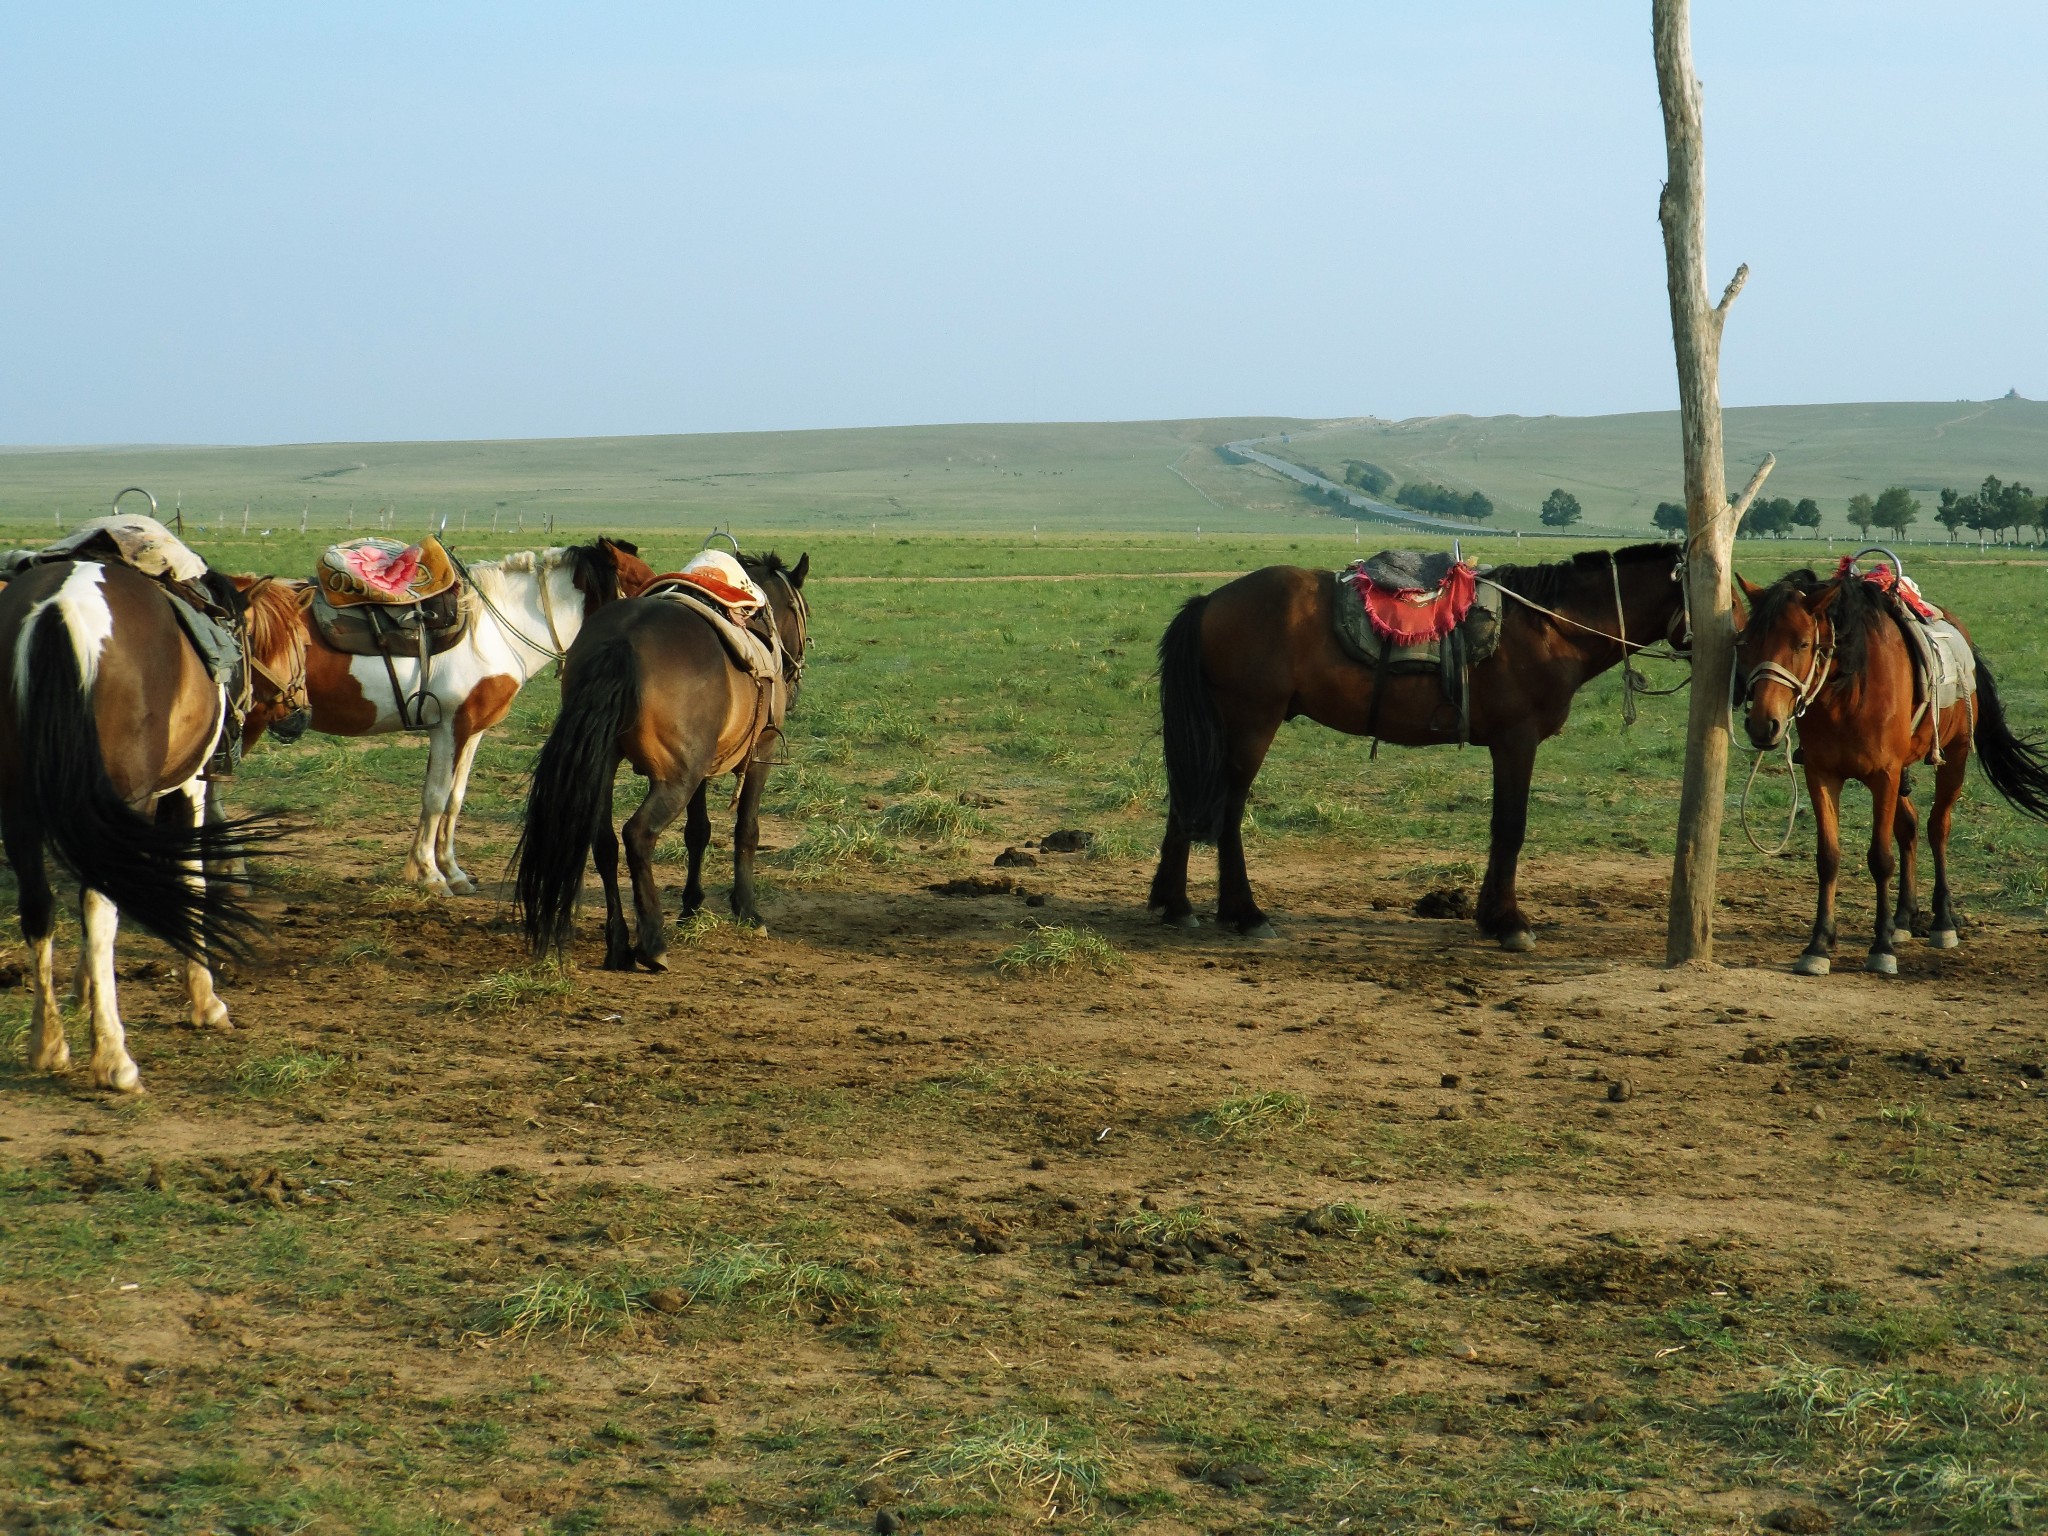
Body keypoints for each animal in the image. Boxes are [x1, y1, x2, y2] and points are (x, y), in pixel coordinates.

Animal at [0, 528, 307, 1097]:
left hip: (20, 807)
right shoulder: (188, 787)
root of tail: (58, 609)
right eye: (300, 644)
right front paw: (205, 1001)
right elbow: (189, 882)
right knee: (101, 904)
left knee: (39, 907)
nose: (302, 714)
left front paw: (82, 991)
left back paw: (48, 1044)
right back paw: (113, 1058)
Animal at [290, 540, 647, 901]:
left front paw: (453, 872)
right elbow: (435, 798)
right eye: (639, 579)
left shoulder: (472, 731)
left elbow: (455, 798)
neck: (495, 630)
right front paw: (430, 874)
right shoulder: (449, 728)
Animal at [516, 548, 811, 966]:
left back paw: (619, 942)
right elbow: (746, 830)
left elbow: (698, 832)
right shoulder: (759, 755)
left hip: (607, 765)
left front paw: (691, 907)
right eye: (800, 608)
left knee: (604, 842)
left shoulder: (703, 767)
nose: (795, 668)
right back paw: (653, 942)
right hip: (676, 779)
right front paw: (747, 910)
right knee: (637, 835)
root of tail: (621, 641)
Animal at [1146, 540, 1687, 950]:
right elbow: (1510, 828)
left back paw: (1175, 904)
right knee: (1227, 810)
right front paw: (1508, 923)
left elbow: (1502, 828)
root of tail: (1210, 602)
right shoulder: (1517, 740)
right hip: (1251, 724)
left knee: (1186, 800)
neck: (1548, 627)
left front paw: (1491, 916)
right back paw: (1245, 913)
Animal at [1728, 557, 2048, 974]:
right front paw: (1818, 945)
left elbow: (1881, 859)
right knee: (1909, 827)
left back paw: (1941, 922)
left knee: (1937, 828)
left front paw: (1880, 948)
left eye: (1802, 643)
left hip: (1954, 757)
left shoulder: (1883, 776)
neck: (1849, 692)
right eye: (1748, 642)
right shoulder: (1822, 774)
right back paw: (1903, 918)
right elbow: (1828, 858)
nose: (1763, 724)